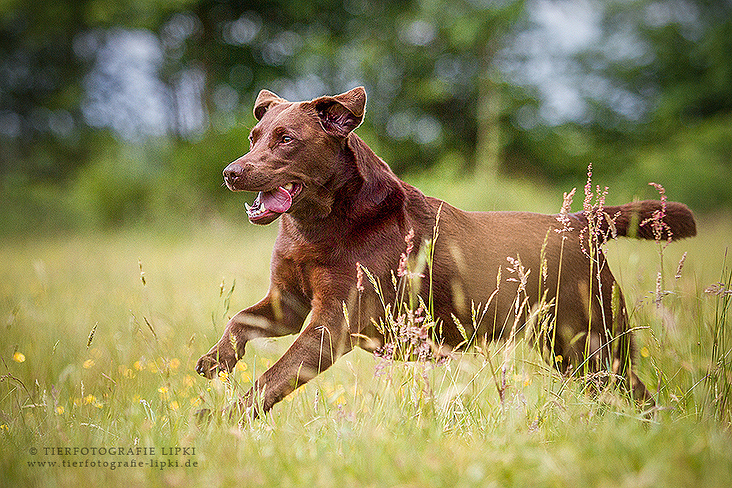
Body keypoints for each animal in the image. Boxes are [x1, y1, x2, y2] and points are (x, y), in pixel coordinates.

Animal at [196, 86, 696, 416]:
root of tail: (579, 224)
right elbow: (240, 319)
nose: (230, 172)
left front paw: (219, 420)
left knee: (637, 391)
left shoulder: (330, 326)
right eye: (253, 136)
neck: (317, 226)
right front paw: (217, 360)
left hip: (595, 341)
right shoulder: (289, 303)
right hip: (566, 351)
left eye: (286, 139)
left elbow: (272, 379)